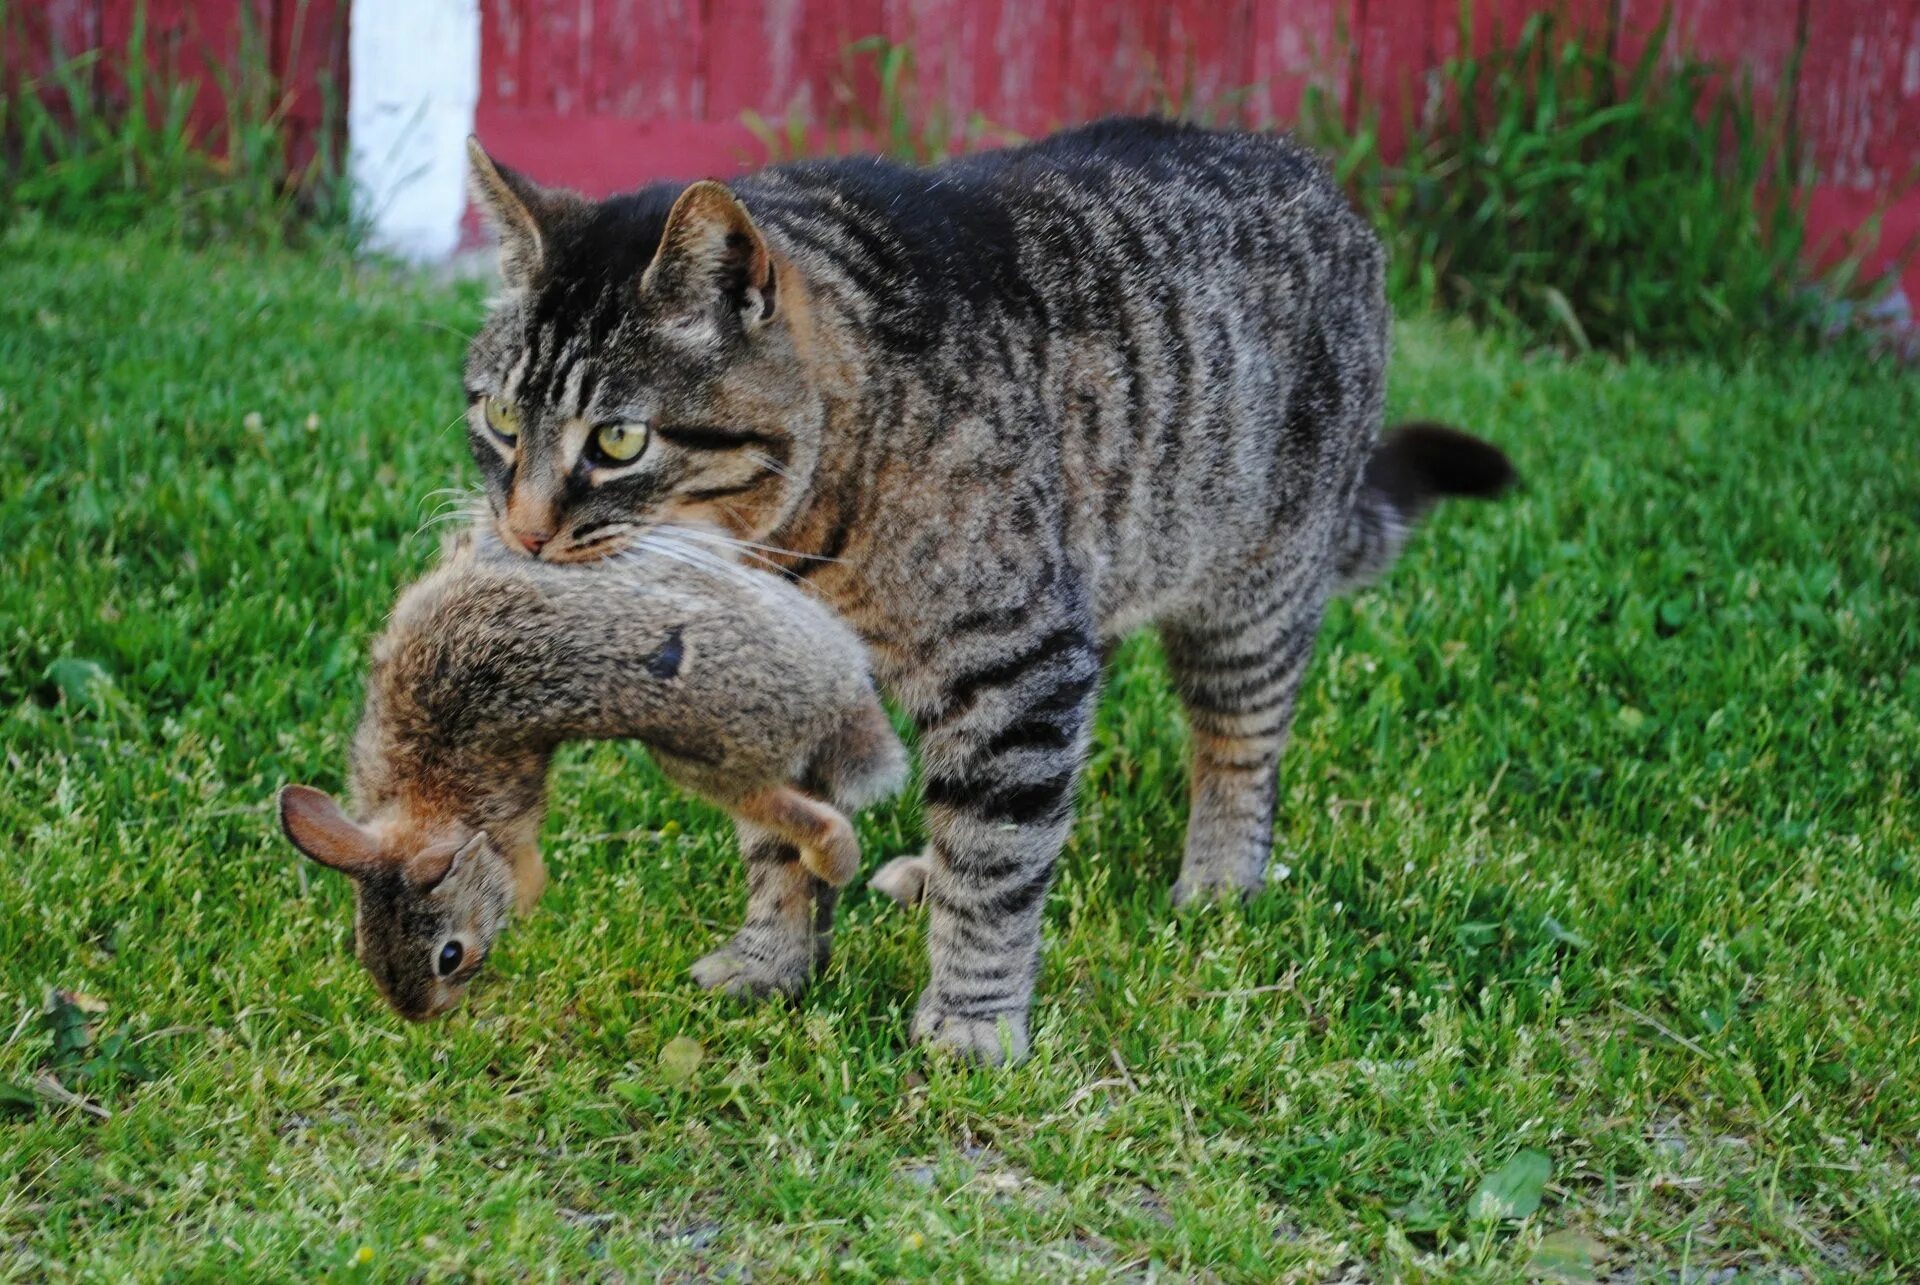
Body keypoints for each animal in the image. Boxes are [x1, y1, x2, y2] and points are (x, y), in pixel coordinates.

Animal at [276, 526, 906, 1014]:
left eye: (449, 956)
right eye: (360, 946)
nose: (424, 1017)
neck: (430, 801)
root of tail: (839, 701)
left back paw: (838, 859)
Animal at [453, 117, 1512, 1060]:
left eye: (618, 439)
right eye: (501, 418)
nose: (523, 530)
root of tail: (1316, 174)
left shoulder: (1014, 657)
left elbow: (1000, 859)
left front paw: (972, 1017)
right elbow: (785, 840)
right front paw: (772, 962)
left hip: (1244, 596)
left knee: (1235, 748)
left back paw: (1218, 878)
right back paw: (934, 866)